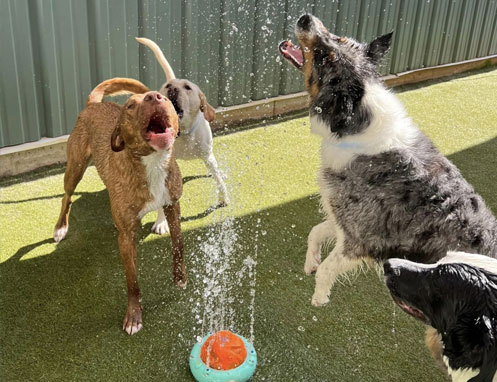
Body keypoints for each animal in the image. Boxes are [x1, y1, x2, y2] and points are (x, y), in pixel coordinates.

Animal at [53, 77, 184, 334]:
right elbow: (132, 281)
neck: (152, 163)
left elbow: (178, 246)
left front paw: (180, 278)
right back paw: (60, 228)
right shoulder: (126, 238)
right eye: (130, 106)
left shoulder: (173, 207)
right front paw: (134, 316)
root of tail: (93, 105)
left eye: (164, 99)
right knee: (66, 197)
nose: (154, 96)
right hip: (75, 167)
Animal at [136, 37, 229, 234]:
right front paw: (161, 221)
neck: (182, 134)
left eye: (187, 87)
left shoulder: (208, 156)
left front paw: (224, 197)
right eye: (167, 87)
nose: (172, 89)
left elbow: (218, 179)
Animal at [280, 14, 496, 304]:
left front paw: (319, 298)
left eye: (324, 57)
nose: (306, 18)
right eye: (339, 37)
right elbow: (315, 232)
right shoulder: (343, 220)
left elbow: (326, 269)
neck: (355, 123)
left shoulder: (360, 239)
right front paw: (310, 262)